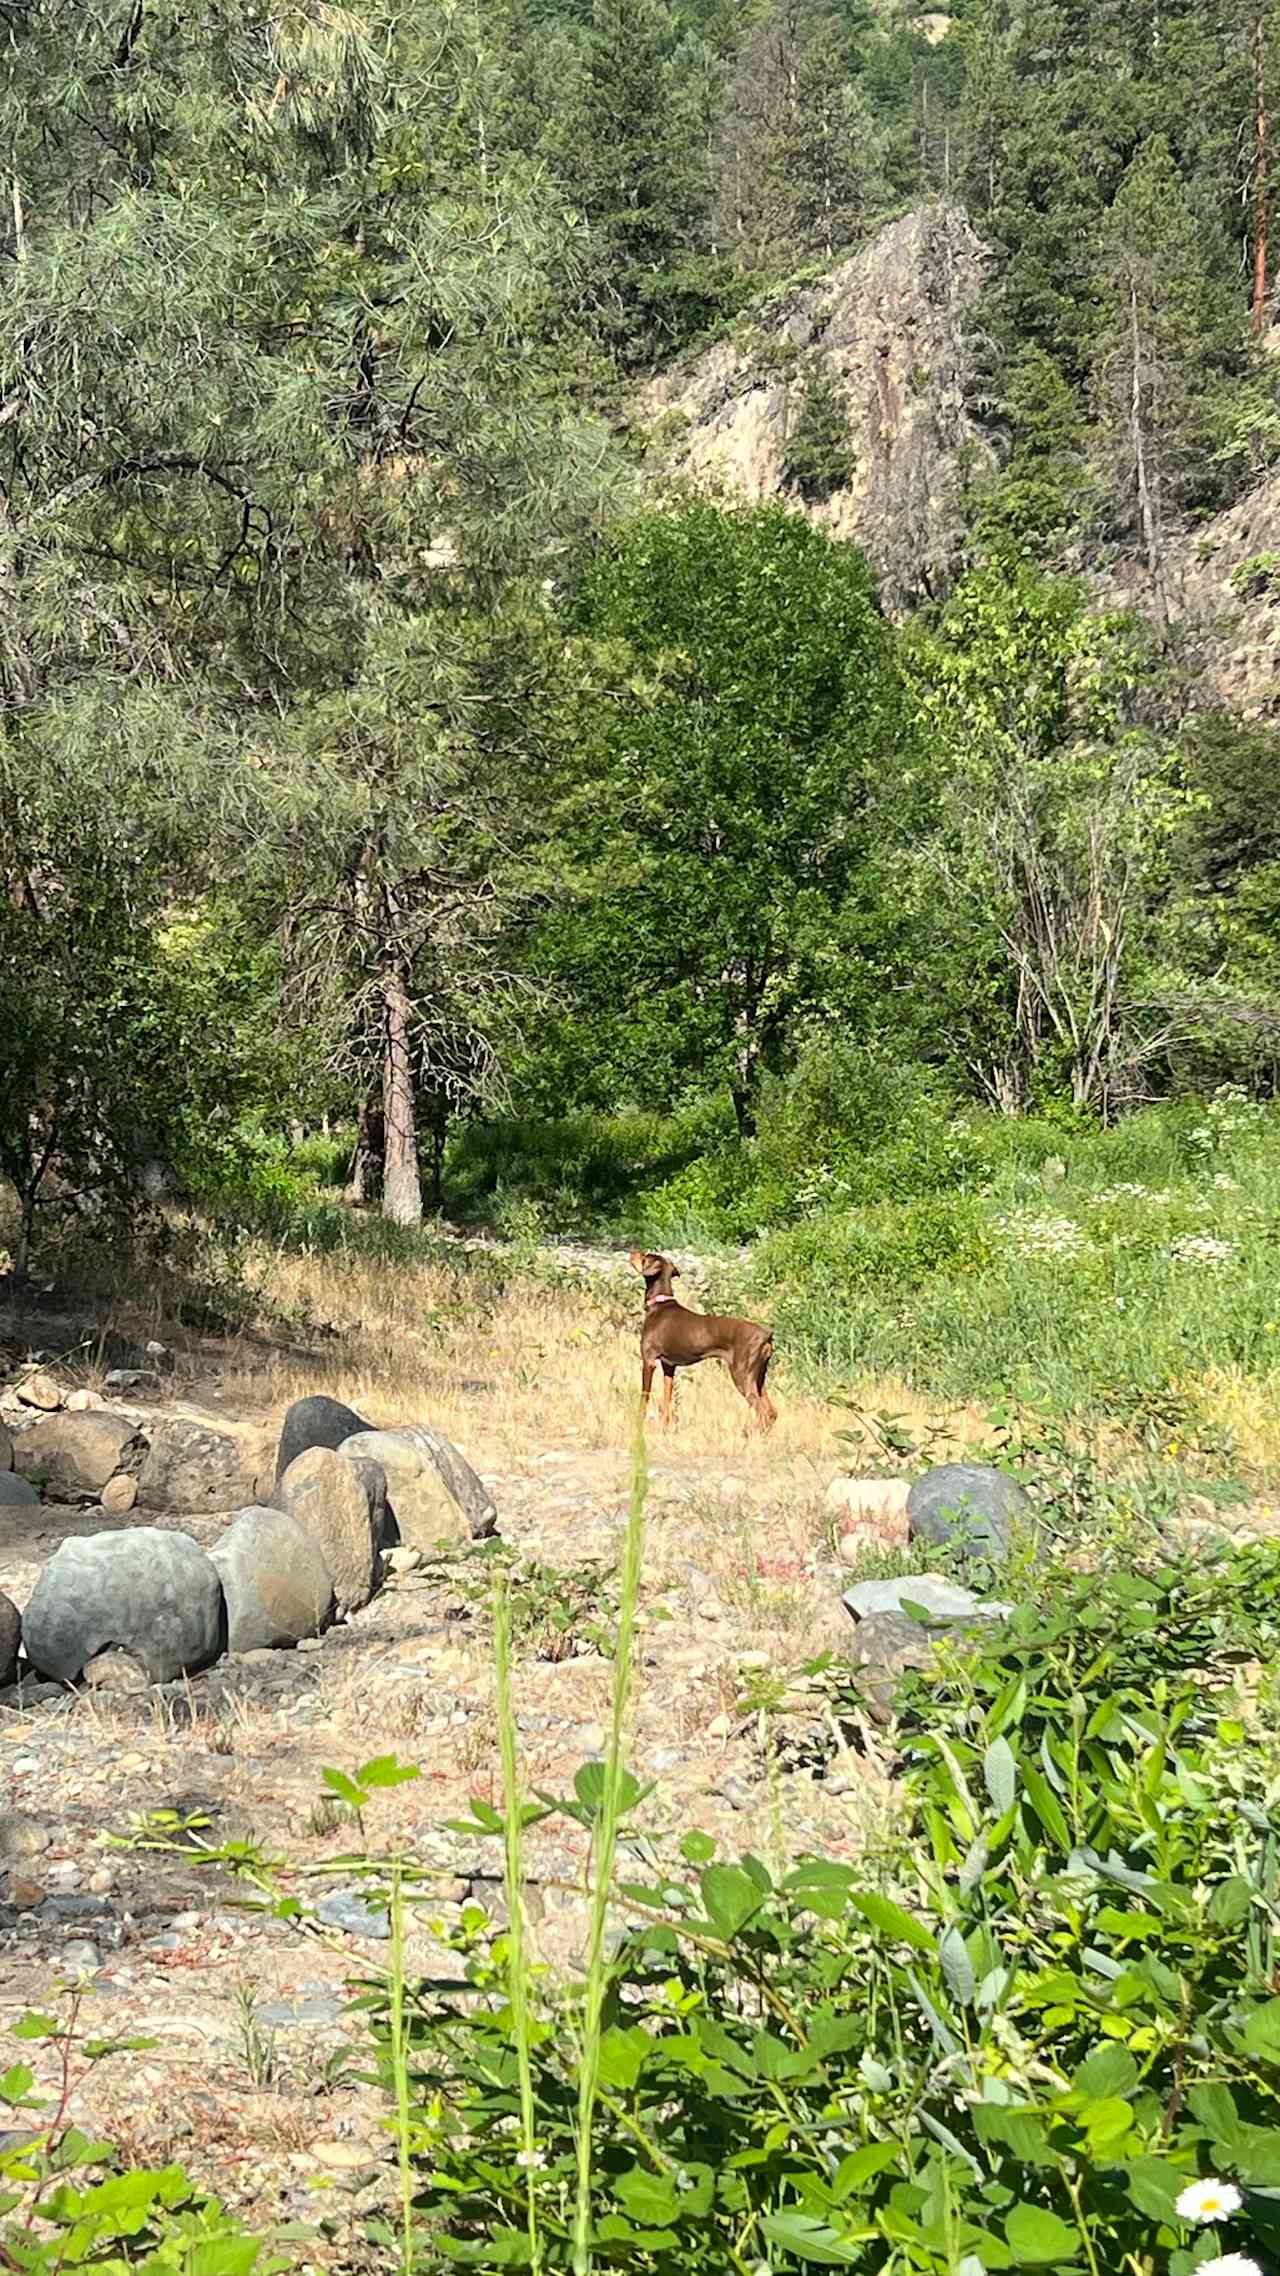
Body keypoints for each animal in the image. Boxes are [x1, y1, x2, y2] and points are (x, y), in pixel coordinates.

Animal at [624, 1256, 774, 1429]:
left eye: (645, 1256)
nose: (632, 1253)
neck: (659, 1304)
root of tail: (766, 1334)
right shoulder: (669, 1367)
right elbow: (666, 1402)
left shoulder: (648, 1362)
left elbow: (644, 1398)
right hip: (759, 1378)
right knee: (772, 1412)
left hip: (742, 1375)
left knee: (762, 1412)